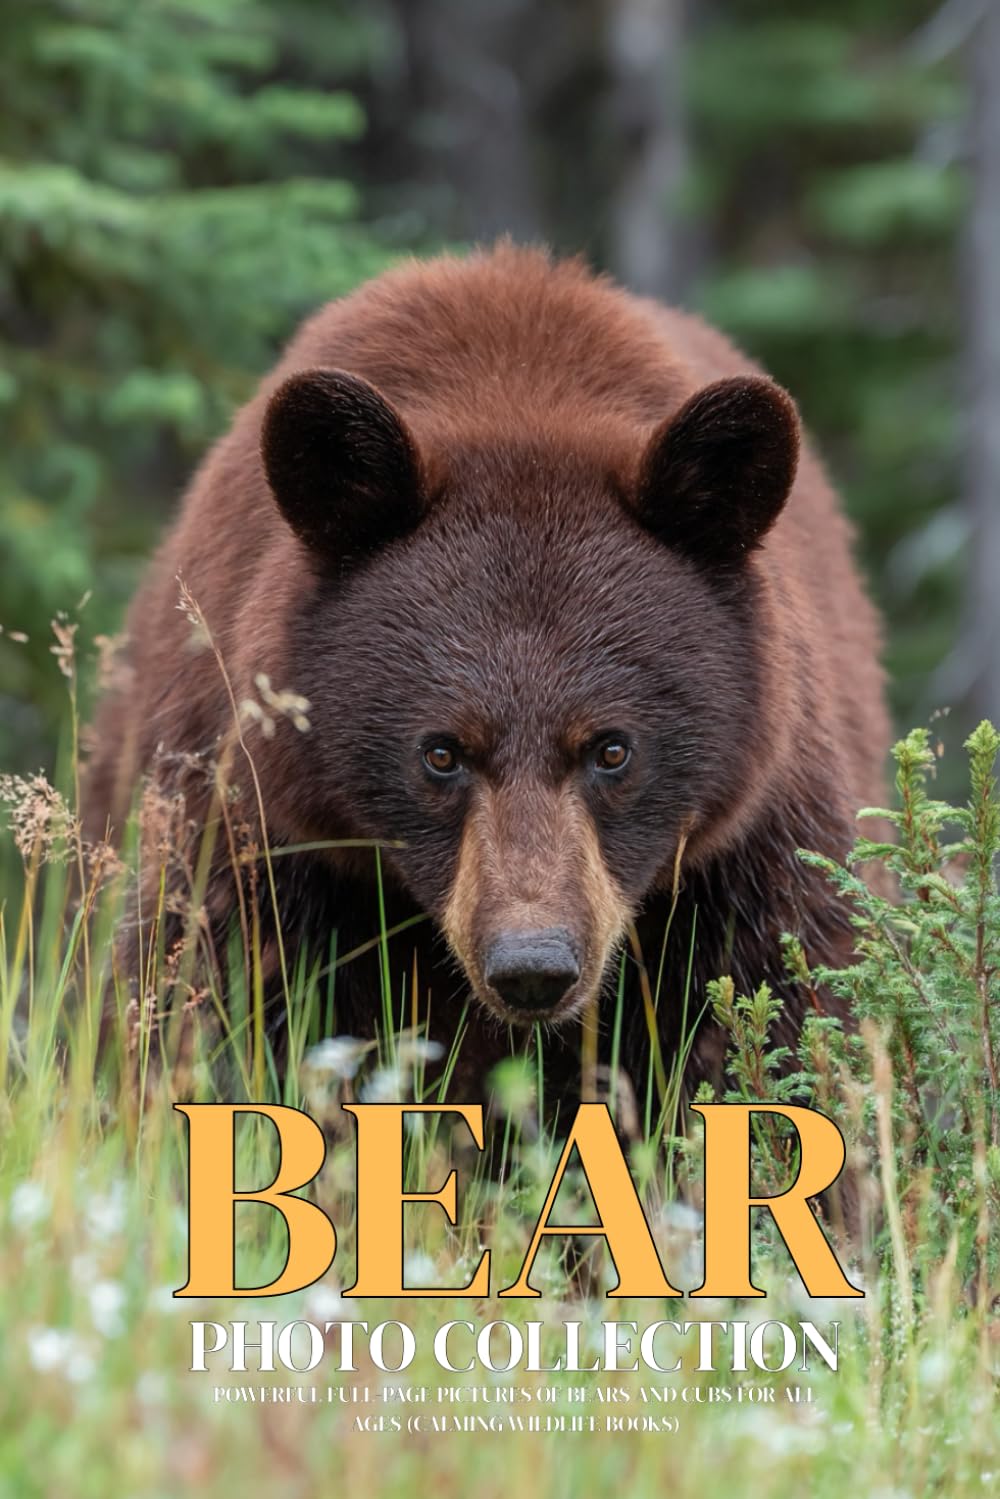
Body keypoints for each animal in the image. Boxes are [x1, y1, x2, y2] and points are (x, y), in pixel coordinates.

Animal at [85, 241, 889, 1113]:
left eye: (613, 748)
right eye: (440, 750)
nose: (533, 966)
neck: (515, 387)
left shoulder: (749, 841)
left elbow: (780, 1009)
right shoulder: (255, 819)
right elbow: (208, 989)